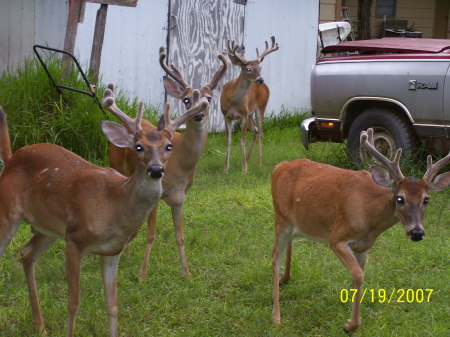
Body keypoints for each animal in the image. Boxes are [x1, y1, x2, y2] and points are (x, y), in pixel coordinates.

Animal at [0, 84, 209, 336]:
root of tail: (11, 159)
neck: (114, 204)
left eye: (169, 147)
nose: (156, 170)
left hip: (47, 228)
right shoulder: (75, 240)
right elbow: (74, 303)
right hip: (8, 211)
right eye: (138, 147)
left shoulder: (112, 251)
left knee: (27, 253)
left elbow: (112, 305)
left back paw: (39, 325)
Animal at [108, 47, 229, 278]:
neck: (180, 164)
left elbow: (180, 236)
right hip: (116, 167)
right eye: (186, 99)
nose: (199, 115)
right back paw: (124, 252)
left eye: (209, 99)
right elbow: (151, 234)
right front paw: (142, 274)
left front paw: (187, 273)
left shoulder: (181, 196)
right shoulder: (155, 194)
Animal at [221, 35, 280, 172]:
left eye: (260, 68)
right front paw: (226, 168)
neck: (232, 101)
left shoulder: (243, 115)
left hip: (260, 107)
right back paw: (247, 159)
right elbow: (229, 141)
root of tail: (265, 86)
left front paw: (244, 169)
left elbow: (242, 141)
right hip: (250, 113)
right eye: (248, 68)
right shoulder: (226, 116)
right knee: (255, 130)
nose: (260, 79)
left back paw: (258, 163)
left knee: (261, 132)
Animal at [270, 128, 450, 330]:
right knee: (274, 257)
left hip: (297, 222)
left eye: (426, 199)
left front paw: (351, 317)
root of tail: (278, 167)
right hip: (281, 218)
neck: (370, 219)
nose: (417, 233)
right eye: (400, 198)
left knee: (290, 242)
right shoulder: (337, 238)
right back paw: (276, 316)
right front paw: (350, 325)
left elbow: (360, 274)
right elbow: (357, 275)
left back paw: (285, 279)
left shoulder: (363, 247)